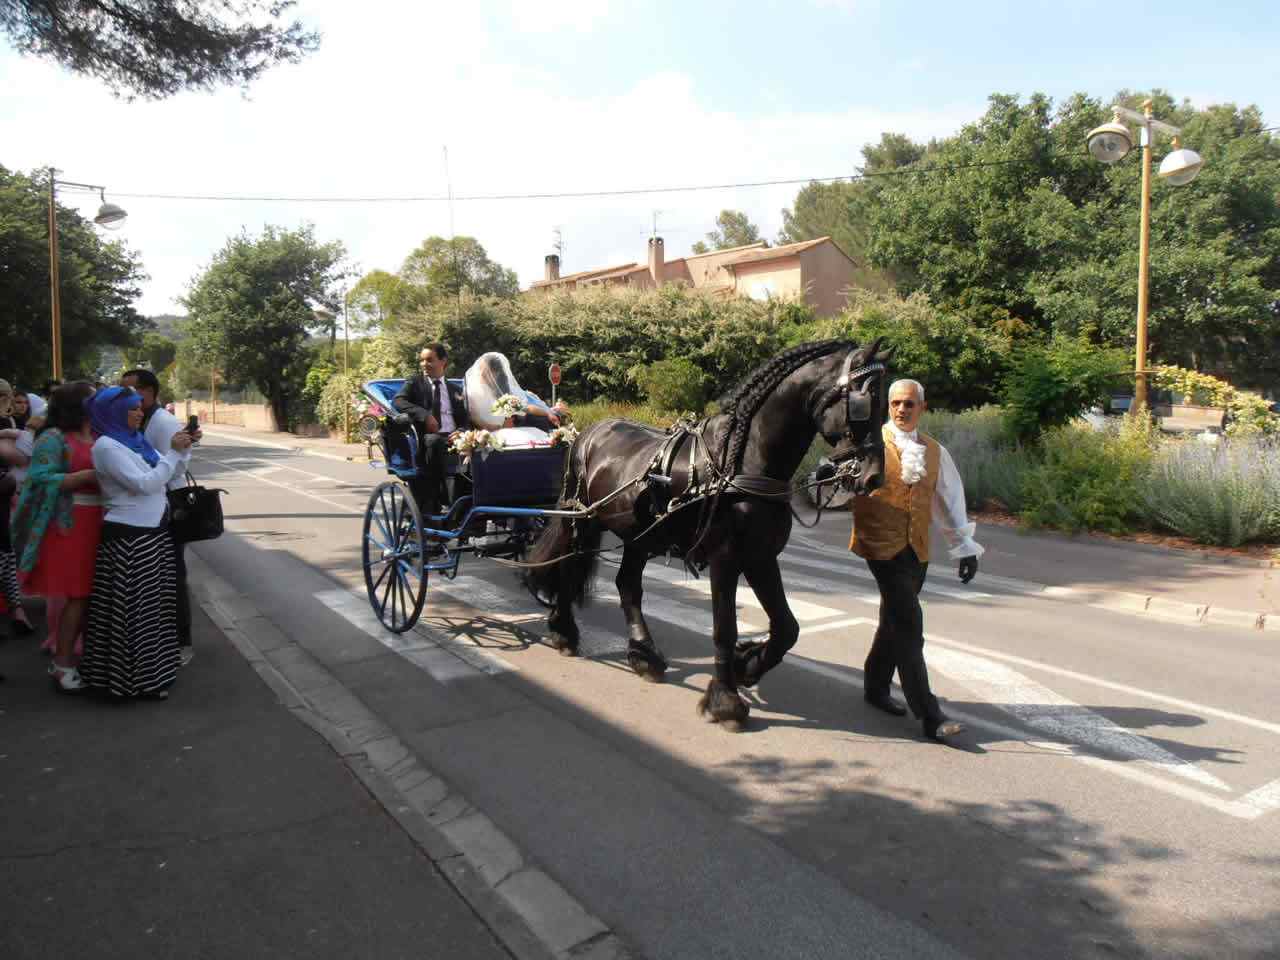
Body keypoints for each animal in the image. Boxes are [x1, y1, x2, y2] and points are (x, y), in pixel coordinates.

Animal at [524, 340, 896, 727]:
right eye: (864, 401)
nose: (873, 476)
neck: (741, 460)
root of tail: (587, 433)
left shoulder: (761, 557)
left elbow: (786, 627)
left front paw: (747, 665)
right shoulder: (725, 558)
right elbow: (724, 628)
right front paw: (725, 700)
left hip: (639, 535)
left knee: (627, 585)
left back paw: (644, 655)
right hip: (583, 522)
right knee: (569, 570)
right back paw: (564, 632)